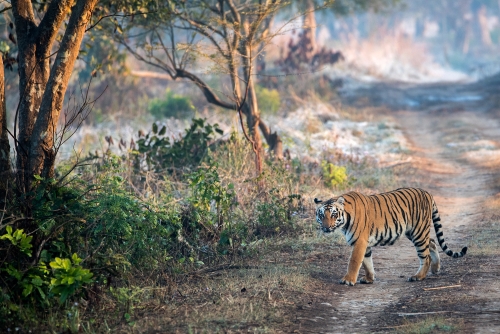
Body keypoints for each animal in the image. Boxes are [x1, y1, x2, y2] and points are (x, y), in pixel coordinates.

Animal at [314, 187, 466, 286]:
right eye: (321, 215)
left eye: (333, 215)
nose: (326, 227)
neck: (345, 221)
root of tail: (427, 193)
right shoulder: (365, 243)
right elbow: (367, 262)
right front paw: (369, 279)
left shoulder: (360, 241)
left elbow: (355, 261)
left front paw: (348, 280)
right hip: (413, 232)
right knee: (433, 242)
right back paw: (435, 268)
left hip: (418, 232)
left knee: (426, 256)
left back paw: (418, 276)